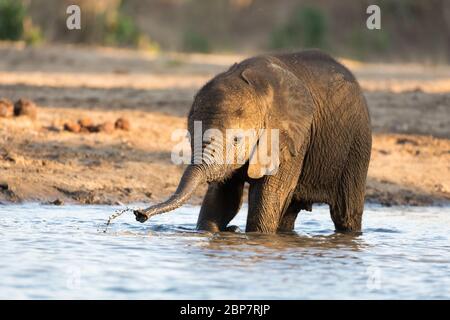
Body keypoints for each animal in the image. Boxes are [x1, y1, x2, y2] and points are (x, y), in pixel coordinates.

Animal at [134, 50, 372, 235]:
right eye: (190, 137)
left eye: (237, 140)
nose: (139, 214)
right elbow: (224, 199)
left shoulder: (292, 139)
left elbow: (267, 198)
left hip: (357, 144)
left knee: (346, 213)